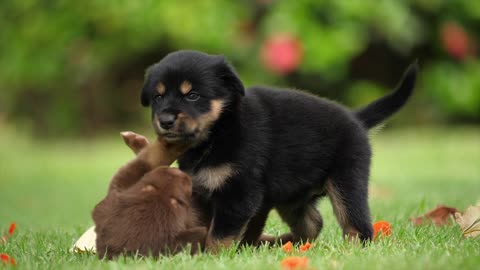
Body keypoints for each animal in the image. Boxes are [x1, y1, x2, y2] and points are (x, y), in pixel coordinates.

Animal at [140, 50, 416, 249]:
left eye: (193, 96)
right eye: (158, 97)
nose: (165, 120)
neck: (219, 131)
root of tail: (355, 118)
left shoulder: (239, 193)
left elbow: (219, 235)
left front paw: (211, 256)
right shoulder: (201, 192)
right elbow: (203, 227)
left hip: (347, 181)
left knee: (357, 226)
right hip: (291, 197)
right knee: (313, 223)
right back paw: (285, 243)